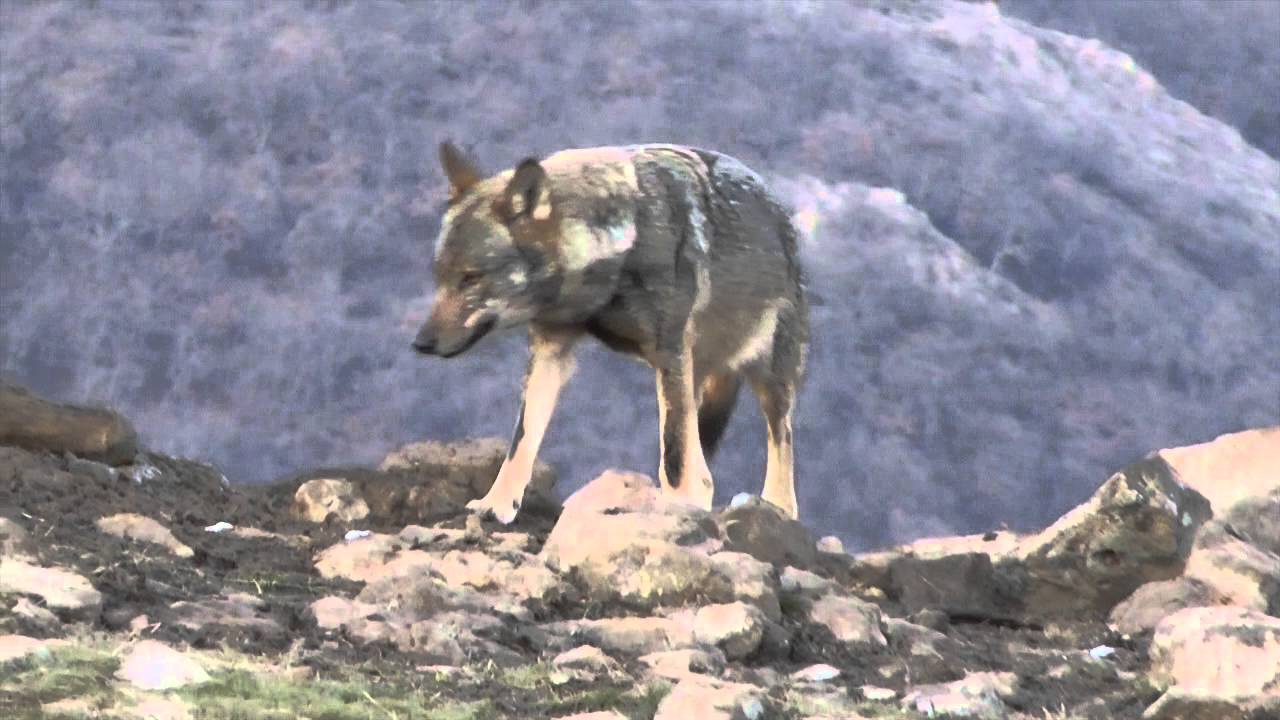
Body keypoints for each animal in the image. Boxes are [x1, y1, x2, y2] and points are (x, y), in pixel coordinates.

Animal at [413, 141, 809, 523]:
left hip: (767, 375)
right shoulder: (550, 350)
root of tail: (778, 208)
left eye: (471, 278)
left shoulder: (669, 350)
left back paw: (775, 508)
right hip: (697, 378)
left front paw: (677, 512)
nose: (421, 343)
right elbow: (521, 439)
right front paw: (495, 504)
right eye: (440, 277)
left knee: (781, 443)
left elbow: (675, 457)